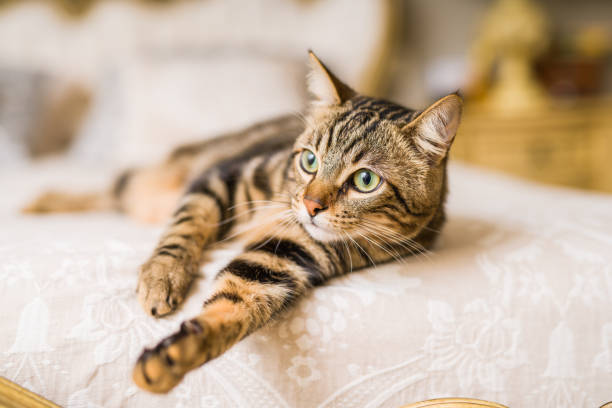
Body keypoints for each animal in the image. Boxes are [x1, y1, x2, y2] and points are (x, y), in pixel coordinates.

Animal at [25, 51, 464, 392]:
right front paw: (163, 276)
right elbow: (184, 229)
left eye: (365, 181)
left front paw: (175, 356)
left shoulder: (281, 258)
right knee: (116, 187)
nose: (310, 205)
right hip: (162, 179)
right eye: (309, 160)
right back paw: (40, 203)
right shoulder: (220, 181)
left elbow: (232, 305)